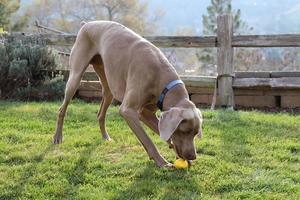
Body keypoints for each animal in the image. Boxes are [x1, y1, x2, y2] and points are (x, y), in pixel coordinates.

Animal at [54, 20, 204, 167]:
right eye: (184, 131)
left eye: (195, 133)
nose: (193, 156)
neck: (161, 76)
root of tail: (86, 24)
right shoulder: (128, 111)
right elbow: (147, 140)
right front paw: (162, 162)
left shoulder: (146, 113)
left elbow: (162, 131)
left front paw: (177, 154)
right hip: (75, 77)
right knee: (62, 109)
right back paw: (57, 137)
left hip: (109, 85)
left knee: (101, 113)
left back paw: (106, 137)